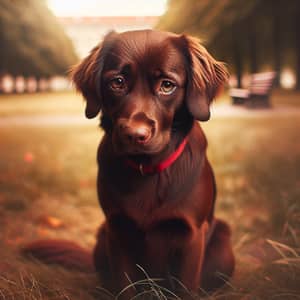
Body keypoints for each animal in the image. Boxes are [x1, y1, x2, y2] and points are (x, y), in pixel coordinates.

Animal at [23, 29, 234, 298]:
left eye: (167, 85)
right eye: (118, 82)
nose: (135, 135)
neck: (147, 168)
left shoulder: (192, 234)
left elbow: (186, 287)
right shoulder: (117, 229)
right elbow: (124, 286)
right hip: (102, 235)